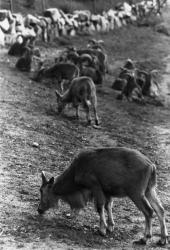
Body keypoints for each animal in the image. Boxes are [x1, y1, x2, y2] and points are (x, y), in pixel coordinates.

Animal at [37, 146, 169, 246]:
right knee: (160, 209)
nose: (39, 210)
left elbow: (100, 207)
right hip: (149, 189)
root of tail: (151, 166)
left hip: (136, 192)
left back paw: (145, 238)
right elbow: (108, 205)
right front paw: (110, 226)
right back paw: (162, 239)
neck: (75, 173)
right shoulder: (107, 191)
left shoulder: (95, 185)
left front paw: (102, 230)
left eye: (42, 190)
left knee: (149, 211)